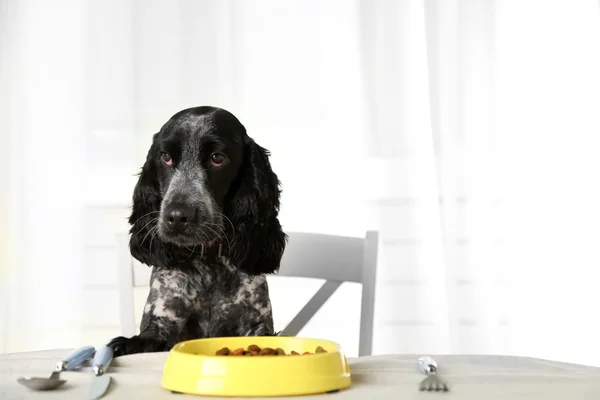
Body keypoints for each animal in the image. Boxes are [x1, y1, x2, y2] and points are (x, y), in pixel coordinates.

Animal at [106, 106, 288, 356]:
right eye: (165, 157)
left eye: (217, 158)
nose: (177, 216)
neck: (208, 263)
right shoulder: (162, 320)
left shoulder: (256, 325)